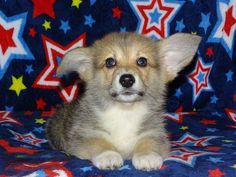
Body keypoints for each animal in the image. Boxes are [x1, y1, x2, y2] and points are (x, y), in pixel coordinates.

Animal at [46, 32, 201, 171]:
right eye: (110, 62)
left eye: (142, 61)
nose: (127, 79)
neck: (125, 110)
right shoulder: (85, 135)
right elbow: (98, 142)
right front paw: (108, 155)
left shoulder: (154, 133)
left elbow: (149, 142)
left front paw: (147, 156)